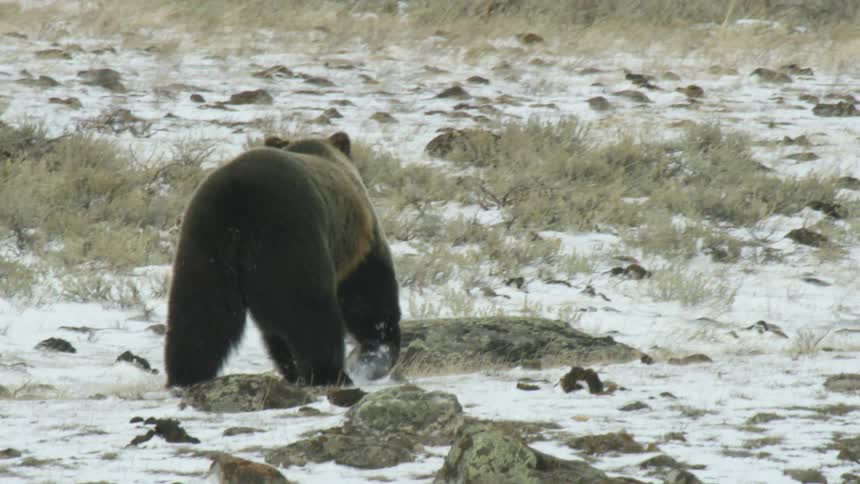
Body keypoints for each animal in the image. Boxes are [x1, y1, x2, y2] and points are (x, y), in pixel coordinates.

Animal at [164, 132, 401, 388]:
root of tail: (236, 200)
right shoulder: (358, 241)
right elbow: (368, 292)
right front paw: (379, 348)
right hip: (291, 241)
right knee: (310, 312)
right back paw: (331, 373)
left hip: (204, 244)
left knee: (199, 314)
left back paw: (186, 374)